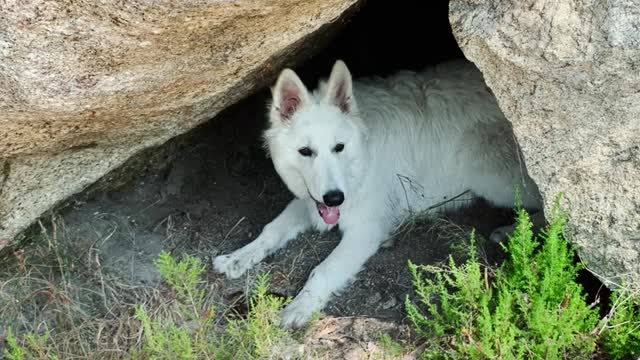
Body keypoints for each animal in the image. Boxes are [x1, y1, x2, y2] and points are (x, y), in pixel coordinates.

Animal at [214, 59, 540, 330]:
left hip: (491, 177)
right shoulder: (310, 202)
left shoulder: (365, 230)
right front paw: (238, 257)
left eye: (339, 147)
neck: (361, 158)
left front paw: (300, 306)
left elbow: (322, 270)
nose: (335, 199)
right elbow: (271, 230)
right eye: (306, 151)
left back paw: (514, 230)